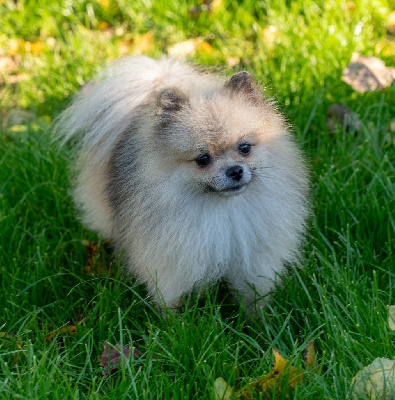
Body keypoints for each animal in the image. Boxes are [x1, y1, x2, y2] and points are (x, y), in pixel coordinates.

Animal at [55, 57, 310, 312]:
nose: (235, 171)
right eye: (203, 159)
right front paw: (173, 321)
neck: (223, 209)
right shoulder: (171, 263)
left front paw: (259, 319)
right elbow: (170, 300)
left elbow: (252, 295)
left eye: (245, 148)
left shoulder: (253, 260)